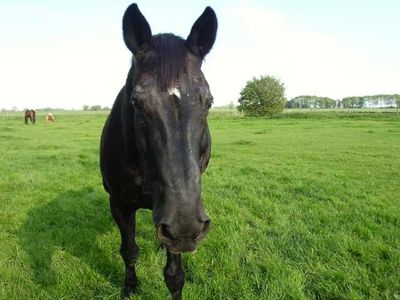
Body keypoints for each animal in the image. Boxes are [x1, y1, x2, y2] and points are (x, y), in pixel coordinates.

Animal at [100, 2, 219, 300]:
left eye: (209, 102)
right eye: (137, 103)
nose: (185, 227)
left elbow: (174, 274)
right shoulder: (119, 204)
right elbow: (129, 251)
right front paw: (129, 288)